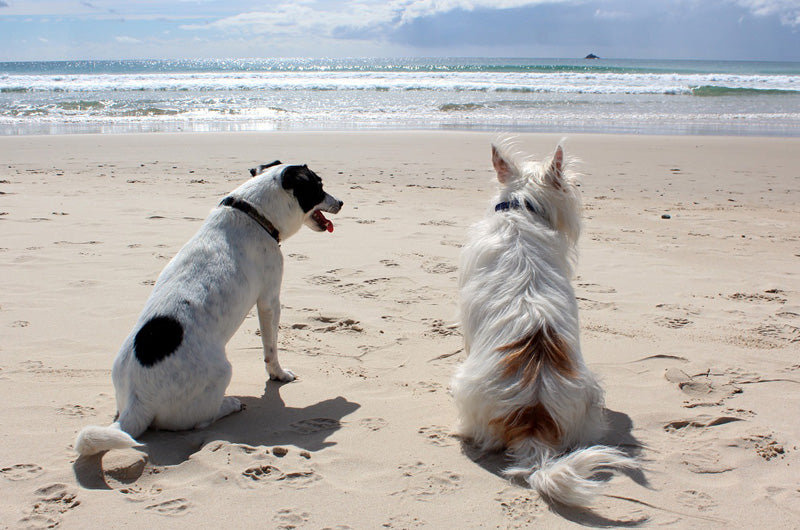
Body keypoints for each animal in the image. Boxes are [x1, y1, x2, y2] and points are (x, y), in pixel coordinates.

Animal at [76, 161, 346, 454]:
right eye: (319, 186)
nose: (341, 202)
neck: (254, 212)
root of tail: (139, 401)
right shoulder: (269, 300)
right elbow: (271, 349)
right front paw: (279, 374)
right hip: (221, 372)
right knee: (201, 420)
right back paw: (229, 404)